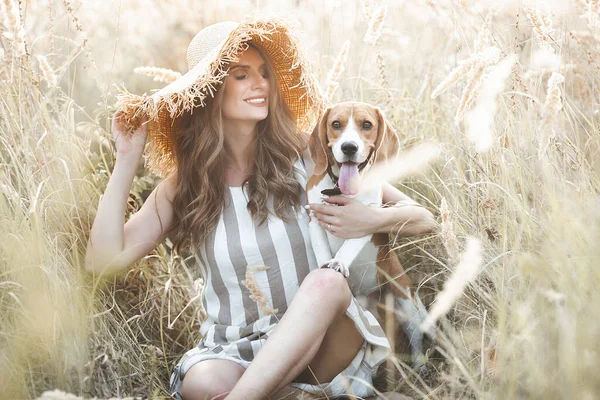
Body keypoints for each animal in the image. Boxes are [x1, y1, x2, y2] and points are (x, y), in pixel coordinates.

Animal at [308, 101, 434, 368]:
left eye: (366, 125)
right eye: (336, 124)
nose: (349, 147)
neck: (340, 190)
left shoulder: (366, 220)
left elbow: (349, 245)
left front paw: (339, 262)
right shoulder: (313, 217)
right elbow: (321, 248)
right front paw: (325, 264)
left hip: (407, 304)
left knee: (416, 338)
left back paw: (419, 366)